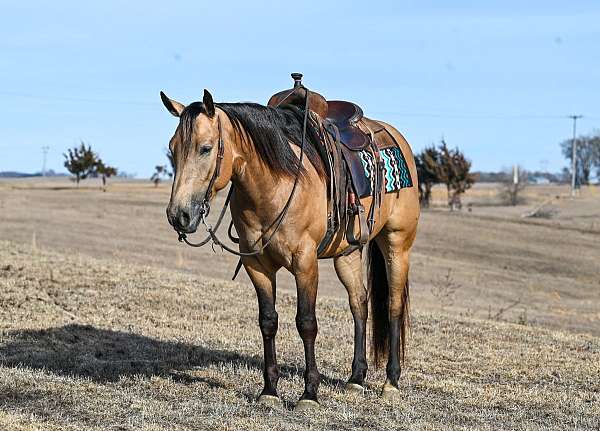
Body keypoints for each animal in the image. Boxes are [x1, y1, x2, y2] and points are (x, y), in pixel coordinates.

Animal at [162, 74, 420, 412]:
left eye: (205, 148)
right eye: (172, 148)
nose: (179, 215)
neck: (274, 185)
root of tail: (397, 138)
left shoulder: (305, 263)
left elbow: (306, 322)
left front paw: (309, 393)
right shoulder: (256, 265)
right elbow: (268, 321)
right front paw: (270, 390)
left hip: (397, 244)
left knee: (393, 304)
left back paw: (391, 382)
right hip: (347, 253)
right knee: (359, 303)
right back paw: (356, 378)